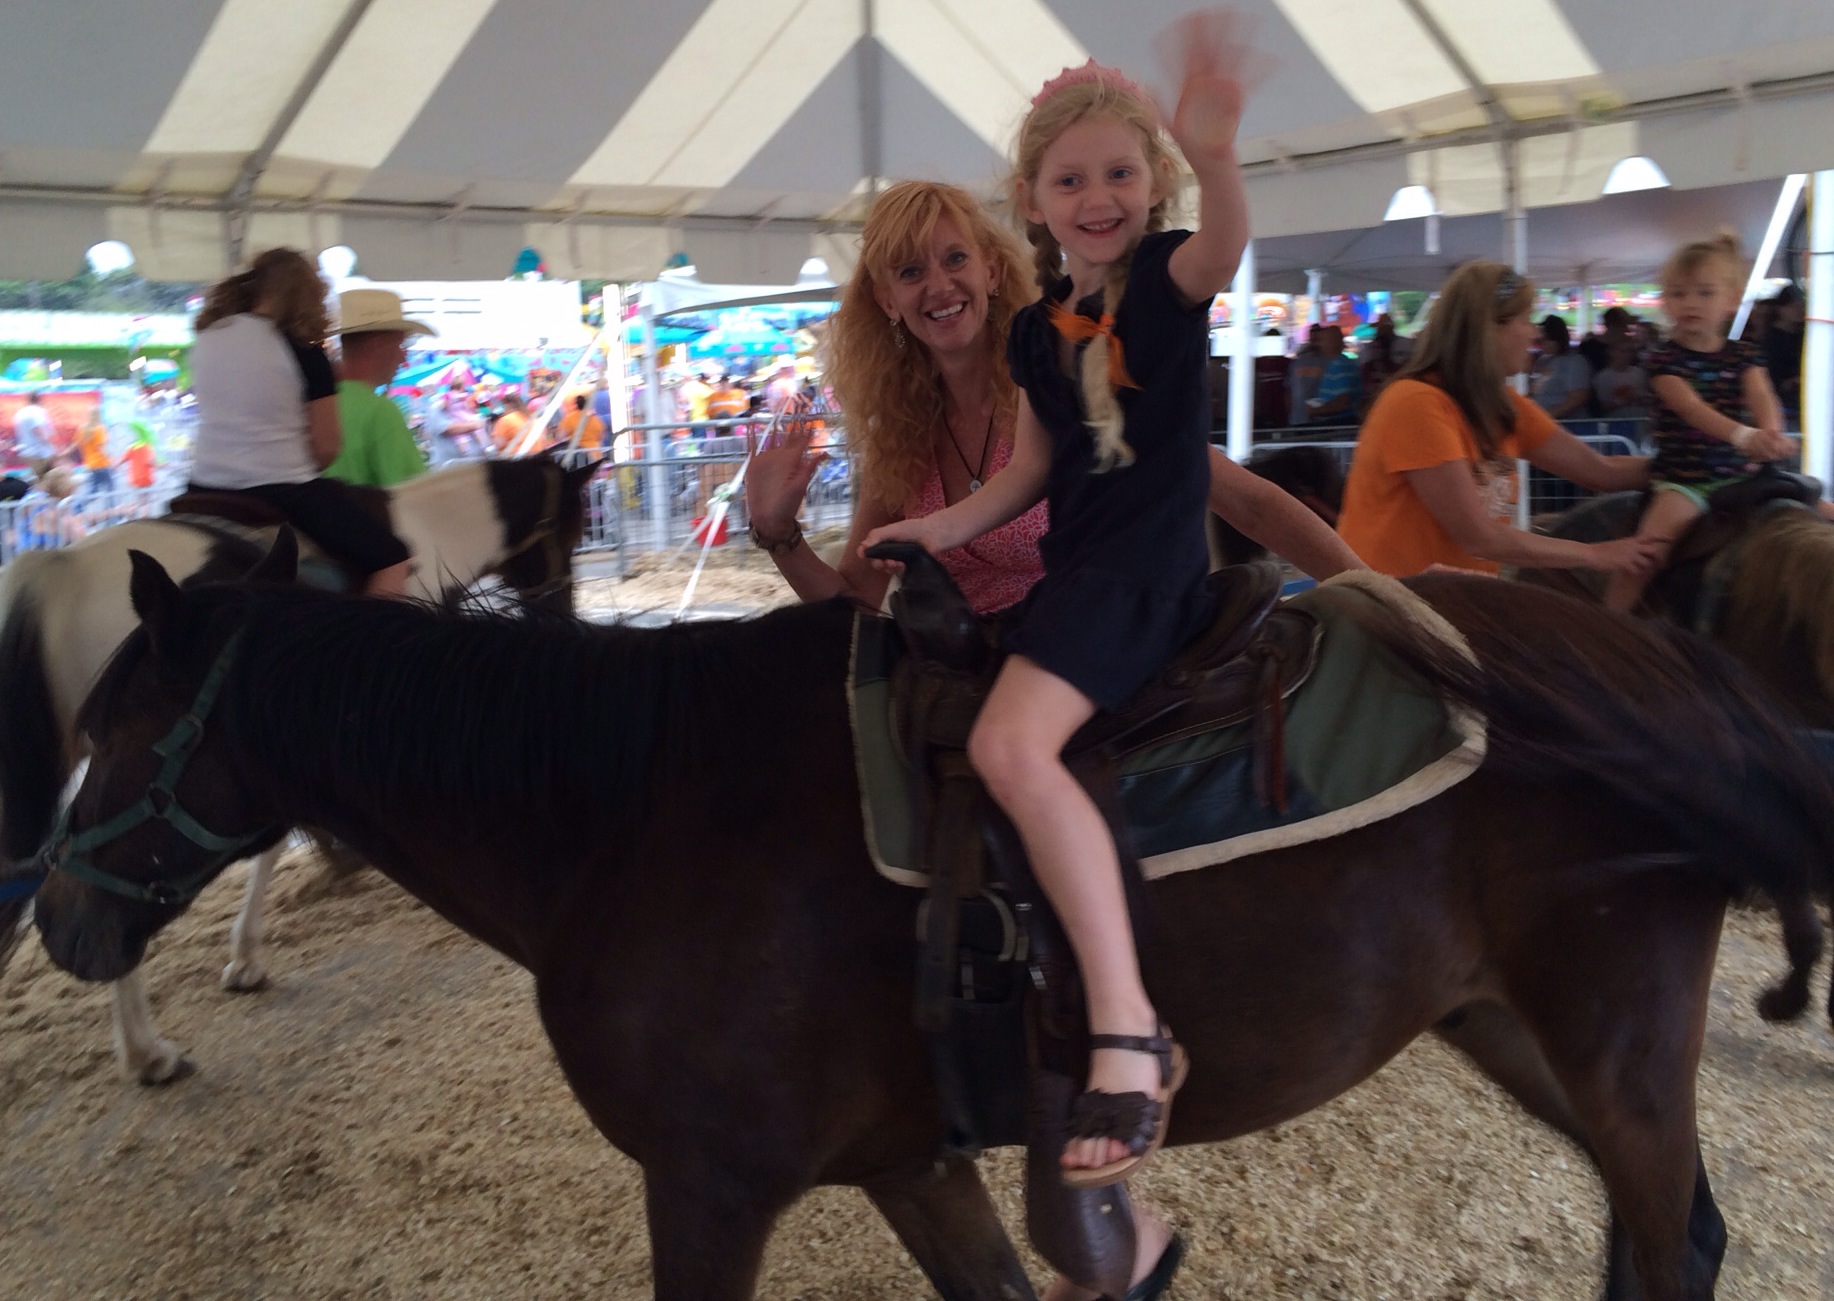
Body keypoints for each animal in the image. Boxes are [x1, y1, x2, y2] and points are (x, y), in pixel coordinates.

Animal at [19, 538, 1834, 1301]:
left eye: (110, 726)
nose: (55, 920)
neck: (627, 815)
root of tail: (1655, 660)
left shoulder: (711, 1186)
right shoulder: (909, 1163)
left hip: (1608, 1033)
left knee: (1671, 1236)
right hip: (1504, 1021)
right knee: (1662, 1235)